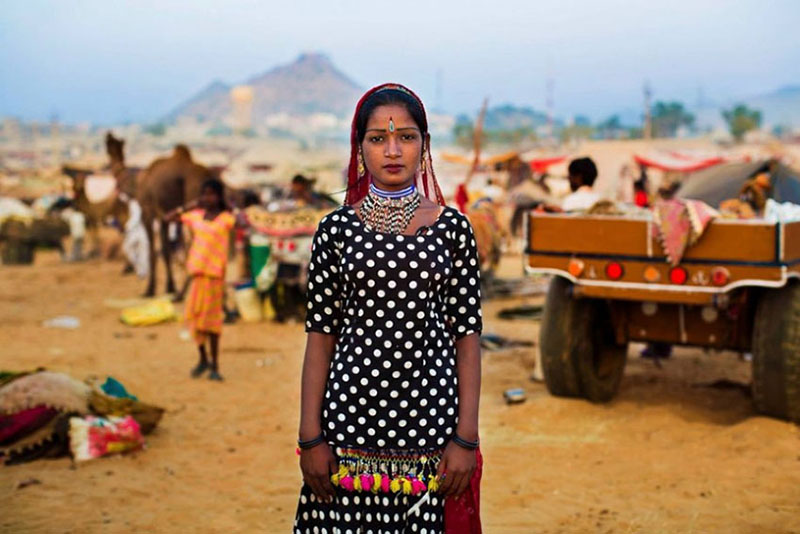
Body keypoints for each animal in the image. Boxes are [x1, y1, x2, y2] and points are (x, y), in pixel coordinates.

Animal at [135, 143, 220, 298]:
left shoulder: (147, 212)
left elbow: (153, 251)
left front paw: (150, 290)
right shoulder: (165, 217)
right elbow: (166, 250)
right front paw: (170, 287)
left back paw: (182, 293)